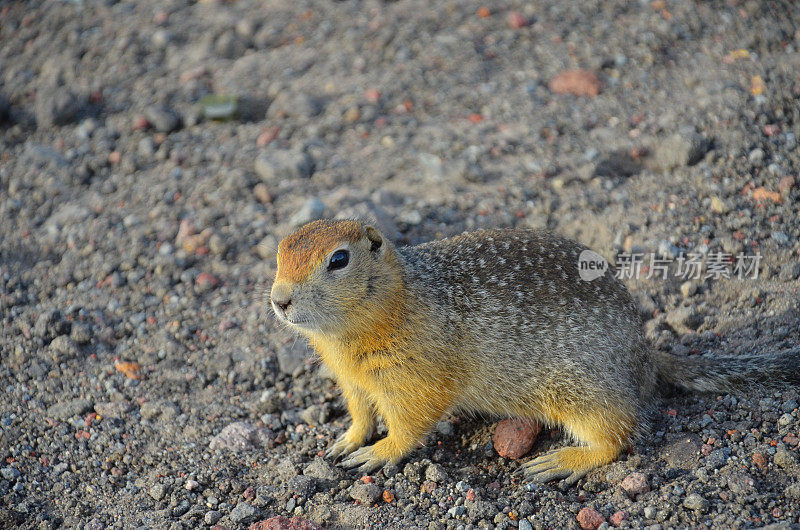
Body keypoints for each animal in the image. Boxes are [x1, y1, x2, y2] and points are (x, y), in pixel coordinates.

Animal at [270, 218, 800, 482]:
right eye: (278, 251)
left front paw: (378, 453)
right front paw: (346, 440)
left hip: (578, 388)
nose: (278, 300)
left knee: (620, 434)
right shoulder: (351, 378)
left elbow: (410, 422)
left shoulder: (417, 374)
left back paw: (561, 462)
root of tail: (645, 355)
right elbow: (361, 412)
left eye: (339, 259)